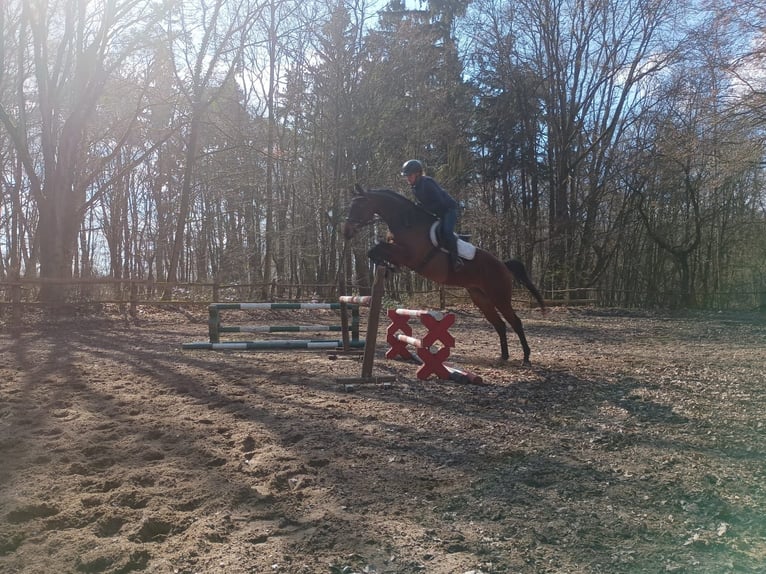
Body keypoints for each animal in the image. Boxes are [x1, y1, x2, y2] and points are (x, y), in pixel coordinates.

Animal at [341, 185, 546, 365]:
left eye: (359, 206)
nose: (346, 231)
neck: (406, 221)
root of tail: (503, 265)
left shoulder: (409, 255)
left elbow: (377, 249)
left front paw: (386, 267)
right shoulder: (398, 253)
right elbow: (375, 251)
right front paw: (387, 267)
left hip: (499, 296)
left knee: (515, 322)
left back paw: (526, 357)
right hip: (481, 297)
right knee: (500, 324)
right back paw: (503, 356)